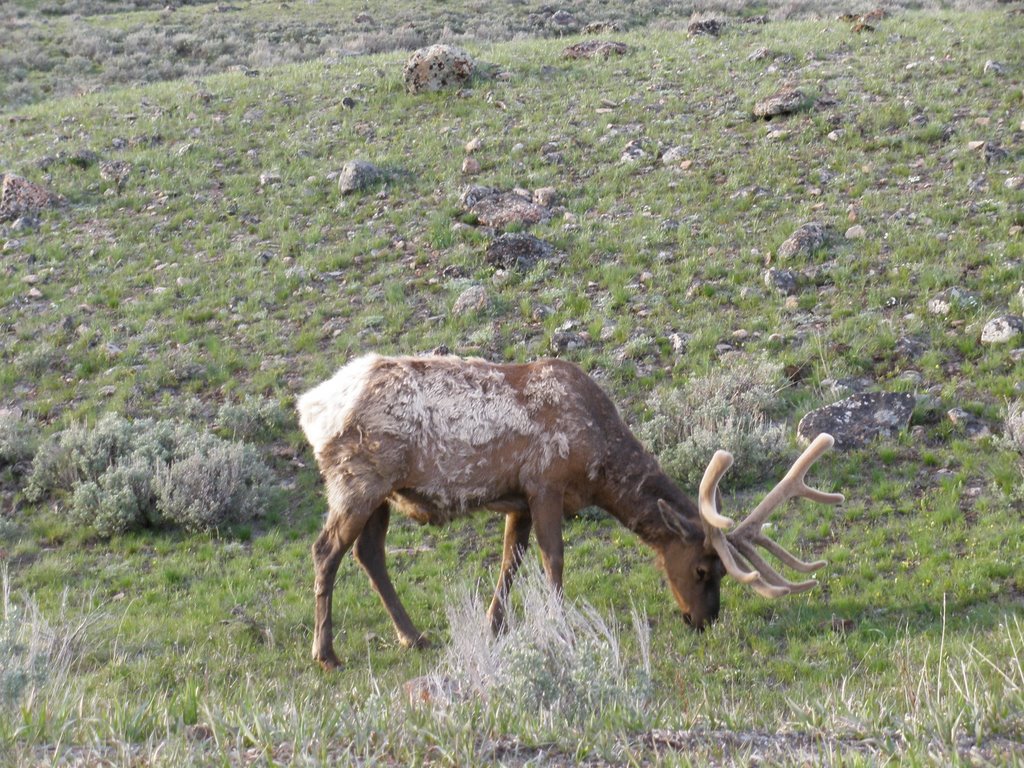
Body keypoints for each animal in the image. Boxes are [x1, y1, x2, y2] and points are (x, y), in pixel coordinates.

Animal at [296, 354, 839, 667]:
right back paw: (326, 654)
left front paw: (495, 626)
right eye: (705, 569)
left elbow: (510, 562)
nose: (703, 621)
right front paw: (557, 627)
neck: (596, 466)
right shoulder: (545, 482)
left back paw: (413, 638)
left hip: (383, 491)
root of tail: (310, 406)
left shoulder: (518, 497)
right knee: (326, 550)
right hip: (357, 478)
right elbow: (552, 560)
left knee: (369, 554)